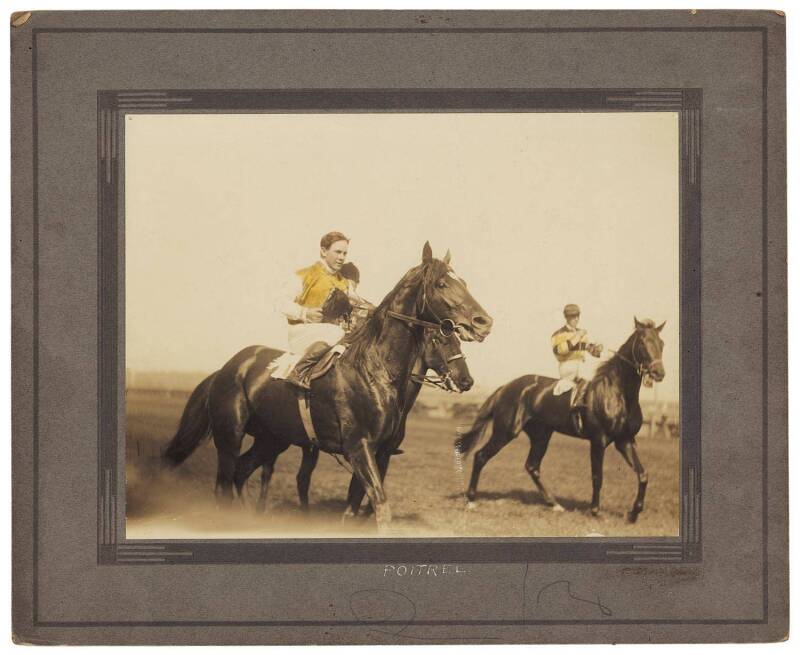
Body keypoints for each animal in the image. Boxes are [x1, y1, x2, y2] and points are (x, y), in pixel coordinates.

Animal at [230, 326, 468, 516]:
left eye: (458, 342)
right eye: (443, 341)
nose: (467, 380)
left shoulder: (378, 453)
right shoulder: (360, 450)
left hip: (275, 440)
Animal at [454, 318, 664, 524]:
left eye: (661, 343)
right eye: (643, 343)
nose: (659, 373)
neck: (618, 394)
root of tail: (506, 387)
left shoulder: (625, 441)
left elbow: (643, 475)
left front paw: (634, 513)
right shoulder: (598, 441)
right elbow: (598, 477)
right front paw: (595, 511)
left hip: (541, 436)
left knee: (532, 466)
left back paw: (553, 503)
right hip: (506, 432)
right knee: (481, 456)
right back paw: (471, 500)